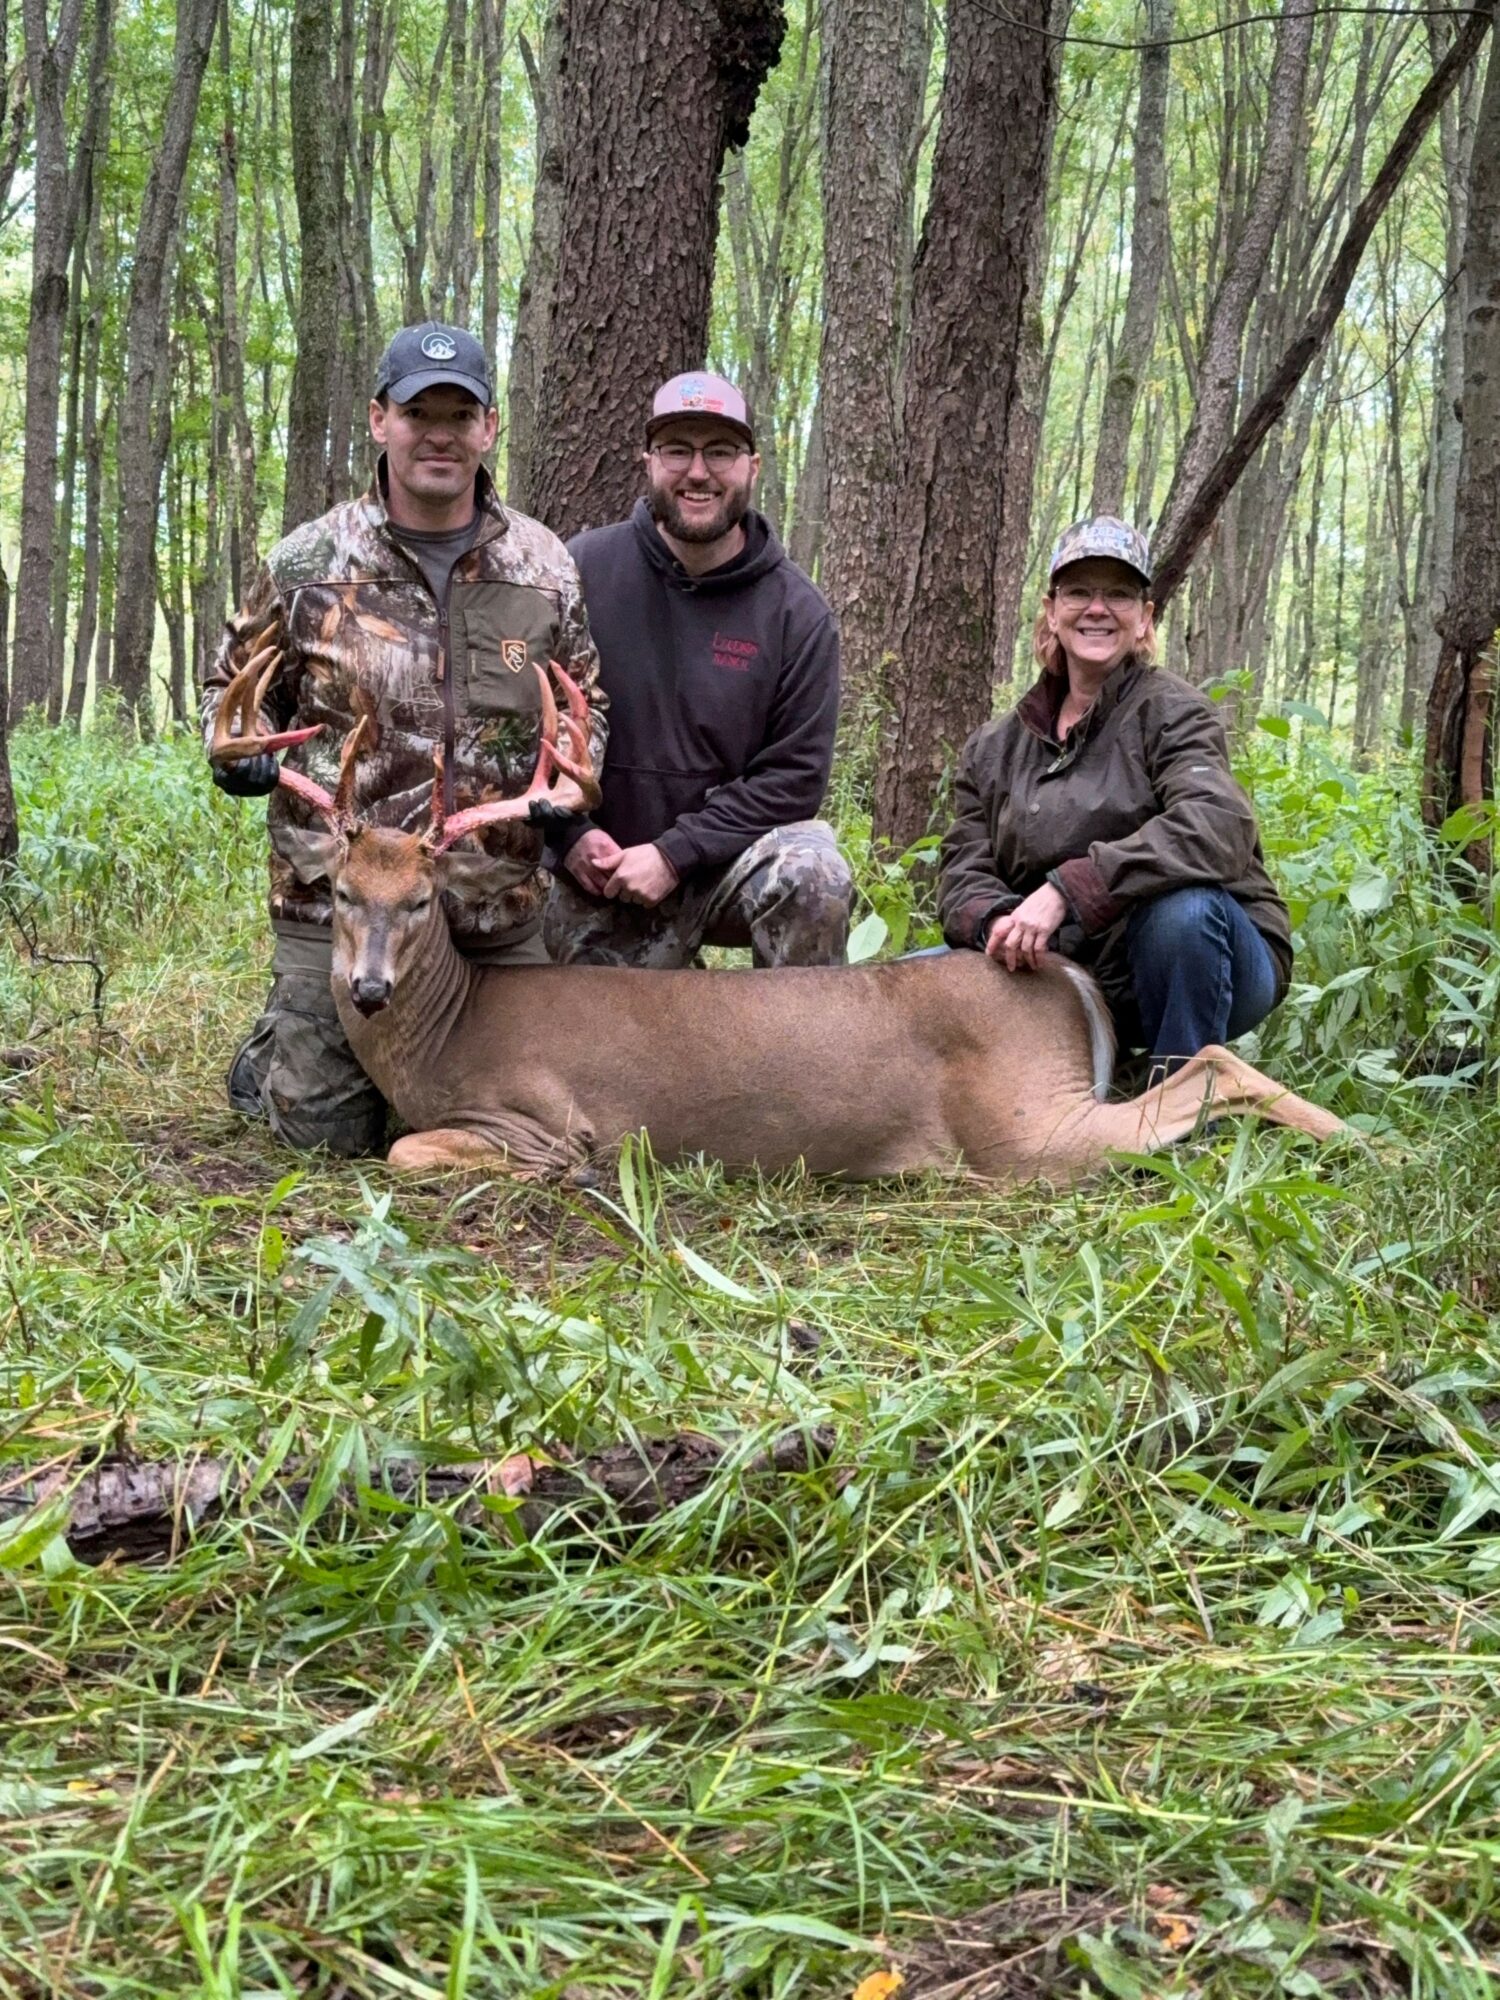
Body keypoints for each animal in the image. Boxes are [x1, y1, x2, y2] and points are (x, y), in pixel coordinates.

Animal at [211, 648, 1346, 1181]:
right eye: (343, 894)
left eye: (420, 901)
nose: (366, 985)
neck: (445, 1036)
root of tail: (1057, 973)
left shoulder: (537, 1117)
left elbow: (407, 1151)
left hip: (1027, 1122)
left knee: (1207, 1067)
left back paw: (1352, 1138)